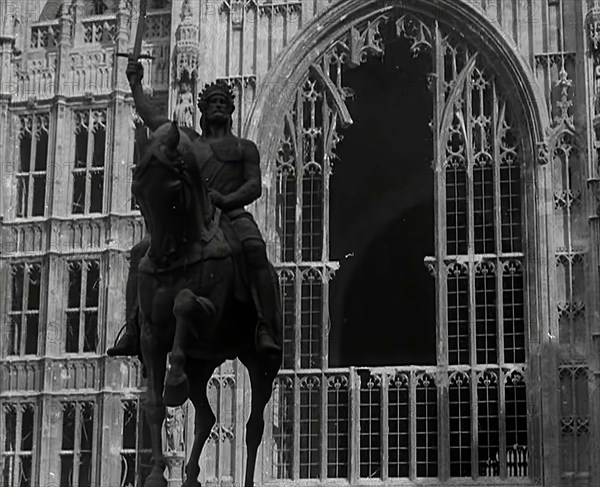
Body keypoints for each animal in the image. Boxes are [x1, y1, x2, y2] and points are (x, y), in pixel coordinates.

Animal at [130, 121, 282, 487]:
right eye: (138, 193)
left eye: (174, 191)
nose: (162, 258)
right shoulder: (151, 335)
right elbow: (155, 405)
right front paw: (156, 475)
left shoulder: (210, 317)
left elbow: (185, 303)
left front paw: (173, 383)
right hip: (202, 365)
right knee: (207, 416)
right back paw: (190, 476)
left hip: (261, 361)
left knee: (253, 427)